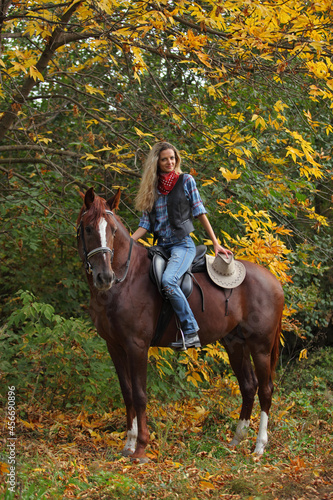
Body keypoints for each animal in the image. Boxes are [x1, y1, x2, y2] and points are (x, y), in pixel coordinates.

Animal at [77, 188, 282, 460]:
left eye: (112, 230)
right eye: (88, 228)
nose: (105, 277)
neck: (126, 279)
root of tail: (275, 281)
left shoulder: (137, 346)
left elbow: (140, 395)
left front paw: (141, 448)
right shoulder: (115, 346)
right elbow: (127, 392)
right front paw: (128, 444)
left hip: (260, 347)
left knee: (266, 390)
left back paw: (259, 446)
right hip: (235, 344)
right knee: (249, 386)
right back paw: (236, 440)